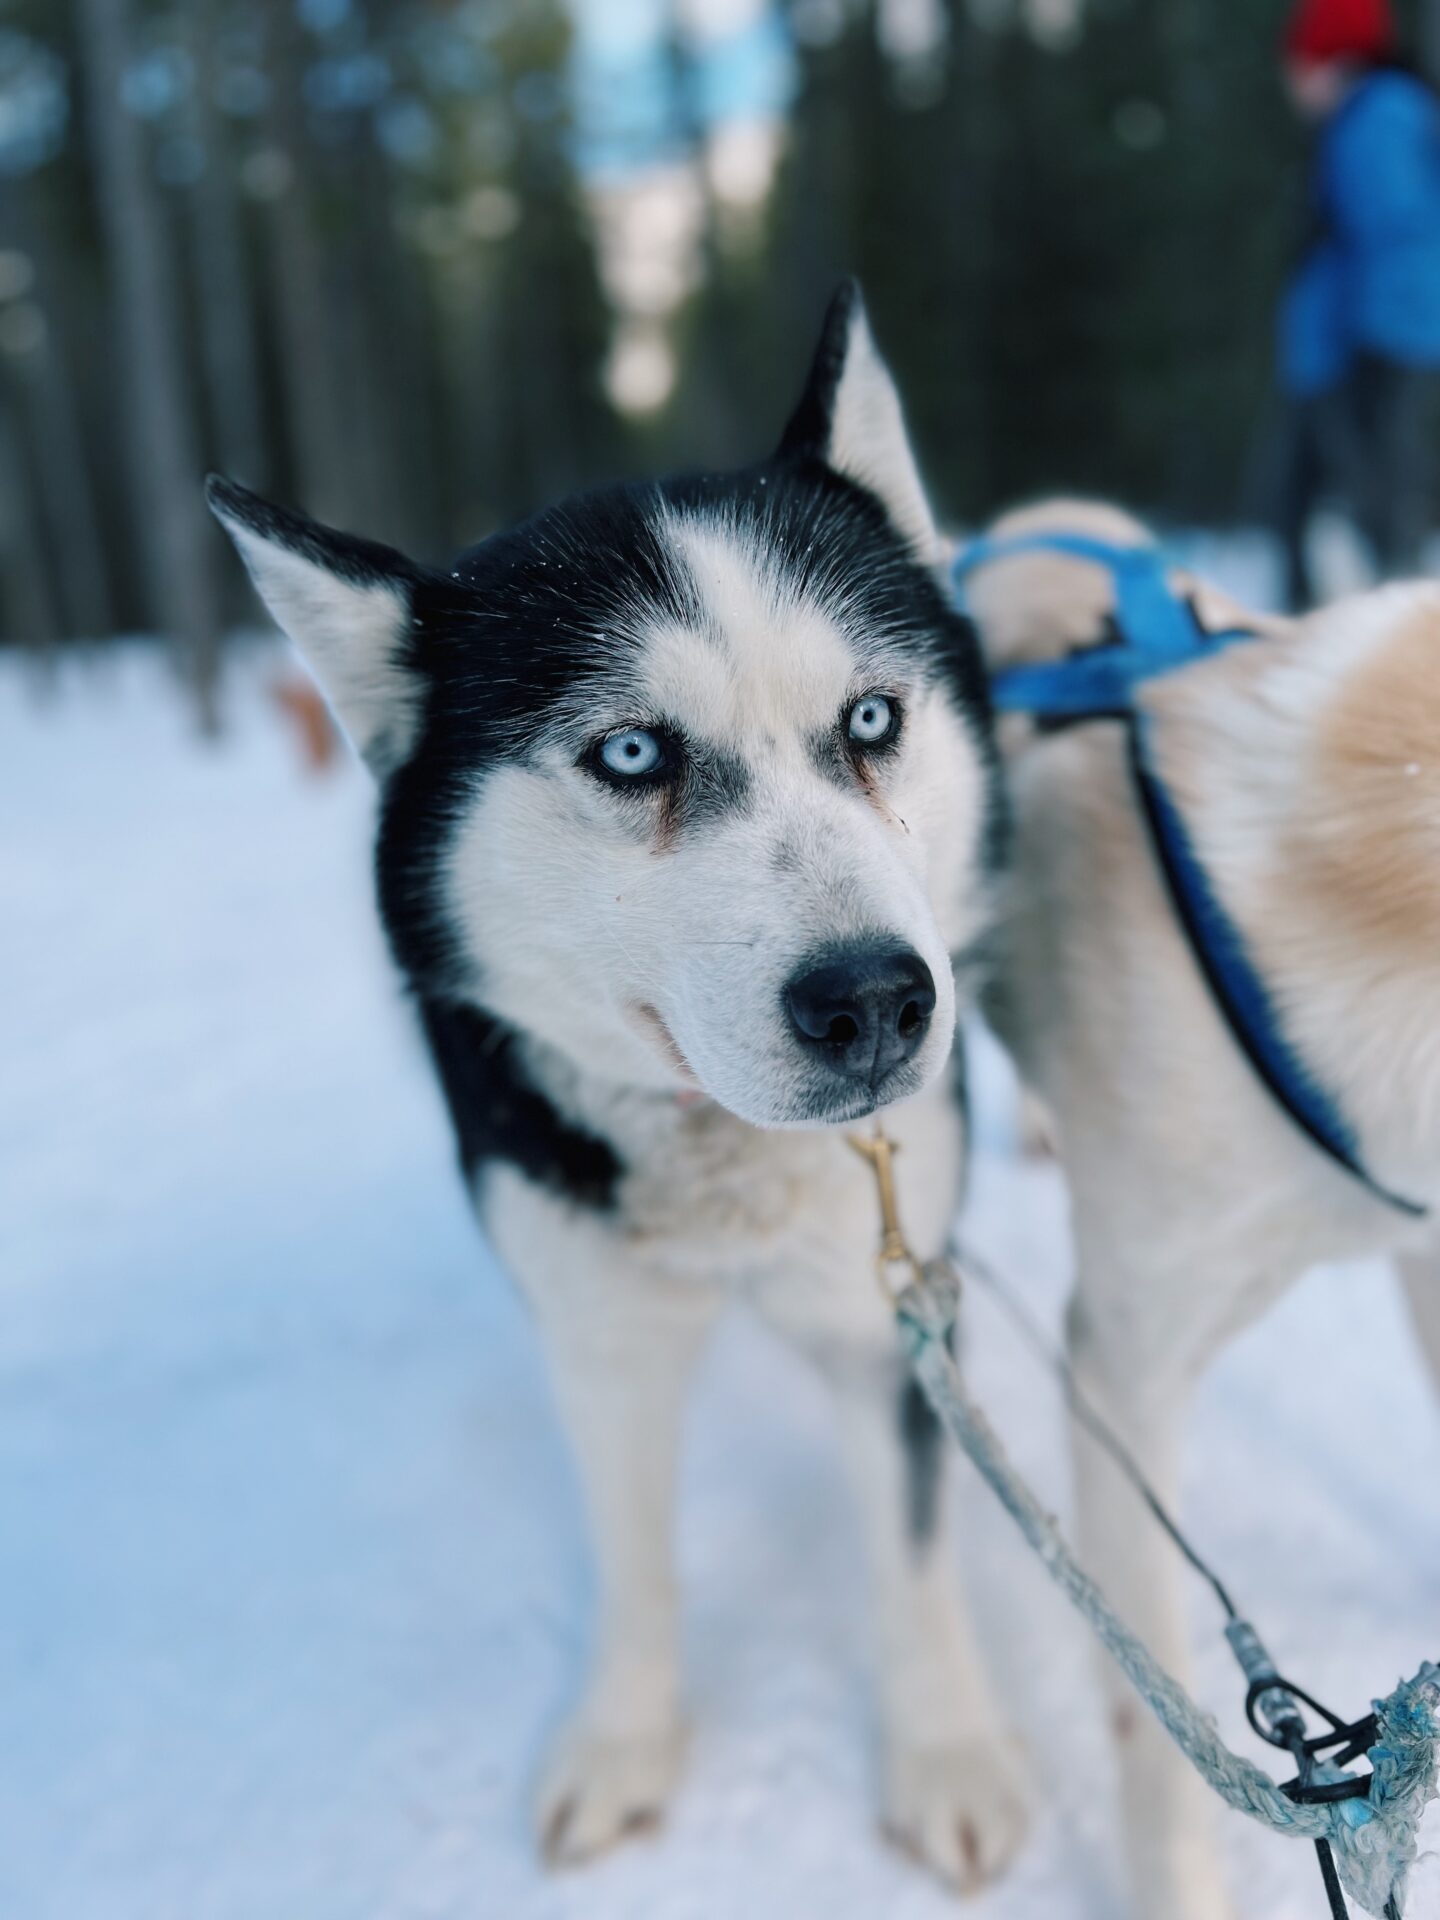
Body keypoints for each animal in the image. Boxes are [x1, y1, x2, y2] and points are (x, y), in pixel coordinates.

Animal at [208, 288, 1029, 1889]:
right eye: (633, 750)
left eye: (872, 721)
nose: (876, 1002)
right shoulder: (603, 1336)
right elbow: (636, 1559)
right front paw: (627, 1739)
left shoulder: (882, 1316)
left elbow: (910, 1561)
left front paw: (948, 1752)